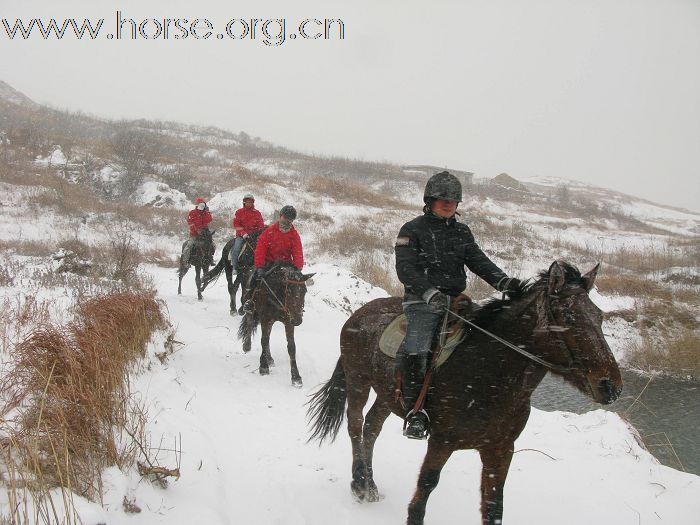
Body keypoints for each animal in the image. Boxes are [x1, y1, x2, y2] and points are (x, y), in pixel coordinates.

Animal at [308, 260, 624, 524]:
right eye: (568, 316)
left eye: (599, 316)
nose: (611, 386)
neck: (490, 376)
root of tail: (359, 313)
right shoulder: (441, 442)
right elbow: (423, 494)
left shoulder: (500, 450)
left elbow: (494, 507)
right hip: (357, 381)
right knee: (355, 424)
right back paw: (358, 483)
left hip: (388, 395)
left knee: (372, 427)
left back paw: (370, 483)